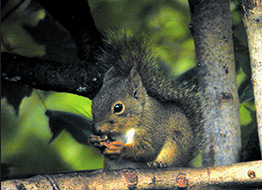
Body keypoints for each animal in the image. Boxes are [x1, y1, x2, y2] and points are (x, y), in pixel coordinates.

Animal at [88, 33, 203, 169]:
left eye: (118, 108)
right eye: (93, 103)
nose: (97, 130)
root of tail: (184, 163)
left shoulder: (153, 126)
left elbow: (147, 149)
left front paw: (120, 149)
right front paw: (94, 140)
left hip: (176, 144)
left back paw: (159, 163)